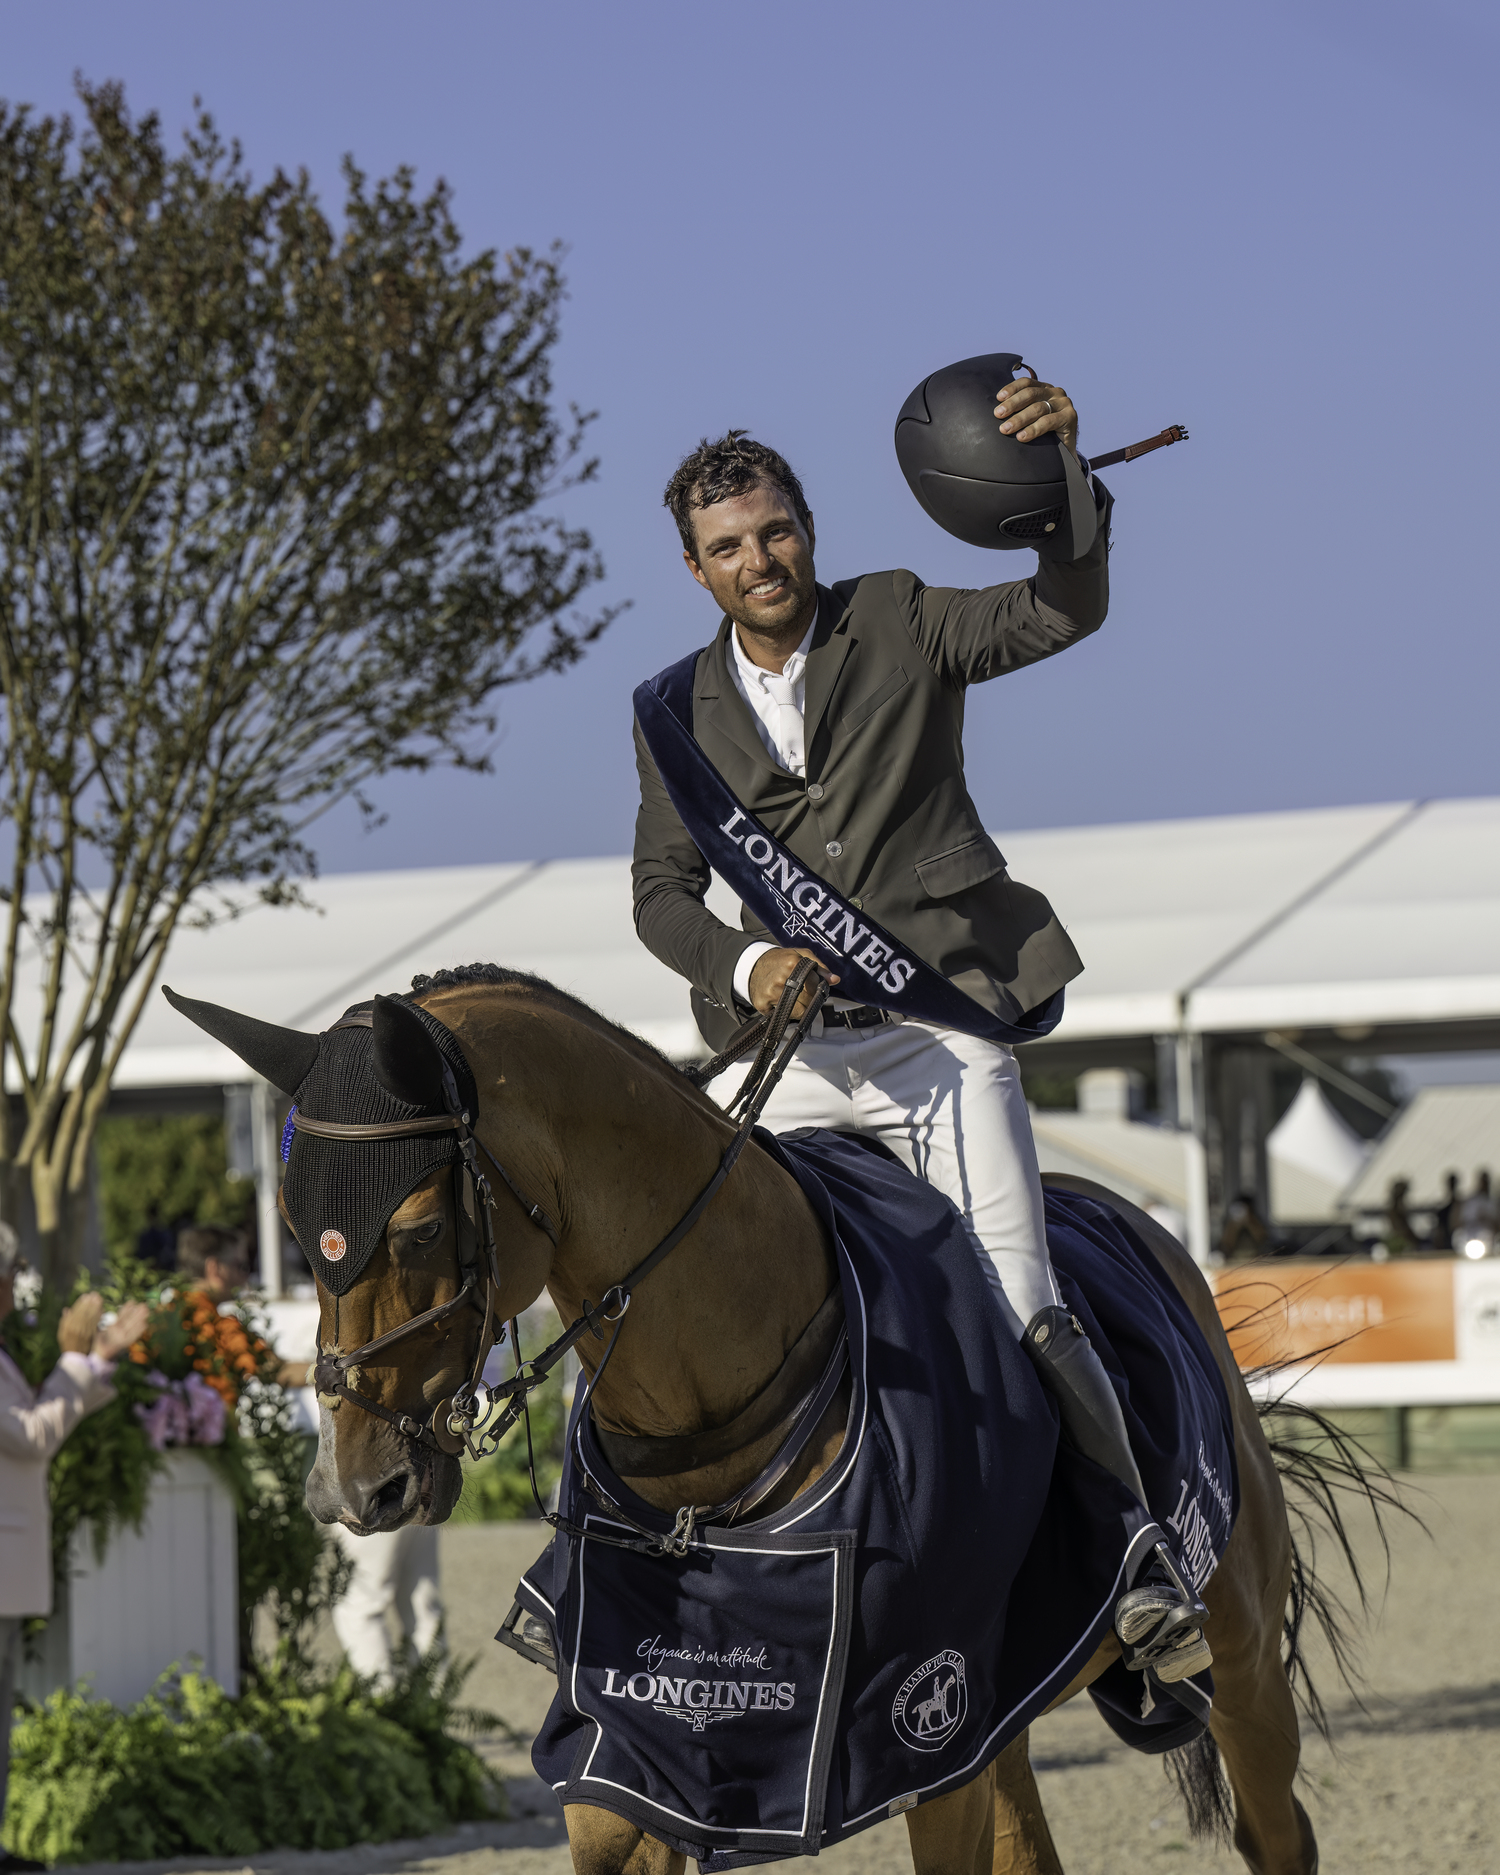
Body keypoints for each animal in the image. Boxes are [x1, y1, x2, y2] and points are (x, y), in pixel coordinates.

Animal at [172, 967, 1372, 1875]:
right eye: (293, 1231)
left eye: (420, 1229)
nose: (353, 1489)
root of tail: (1152, 1233)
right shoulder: (635, 1755)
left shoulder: (919, 1727)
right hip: (1009, 1708)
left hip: (1235, 1652)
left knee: (1279, 1833)